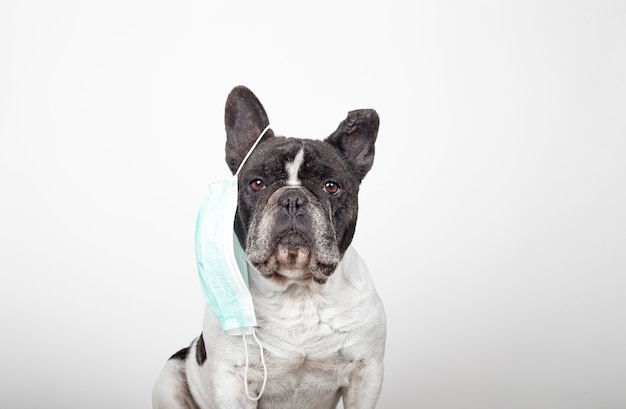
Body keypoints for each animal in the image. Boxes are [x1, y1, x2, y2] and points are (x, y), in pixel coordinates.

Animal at [152, 84, 386, 406]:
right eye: (257, 183)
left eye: (331, 186)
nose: (292, 198)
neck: (298, 292)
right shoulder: (232, 379)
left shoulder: (366, 374)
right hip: (169, 378)